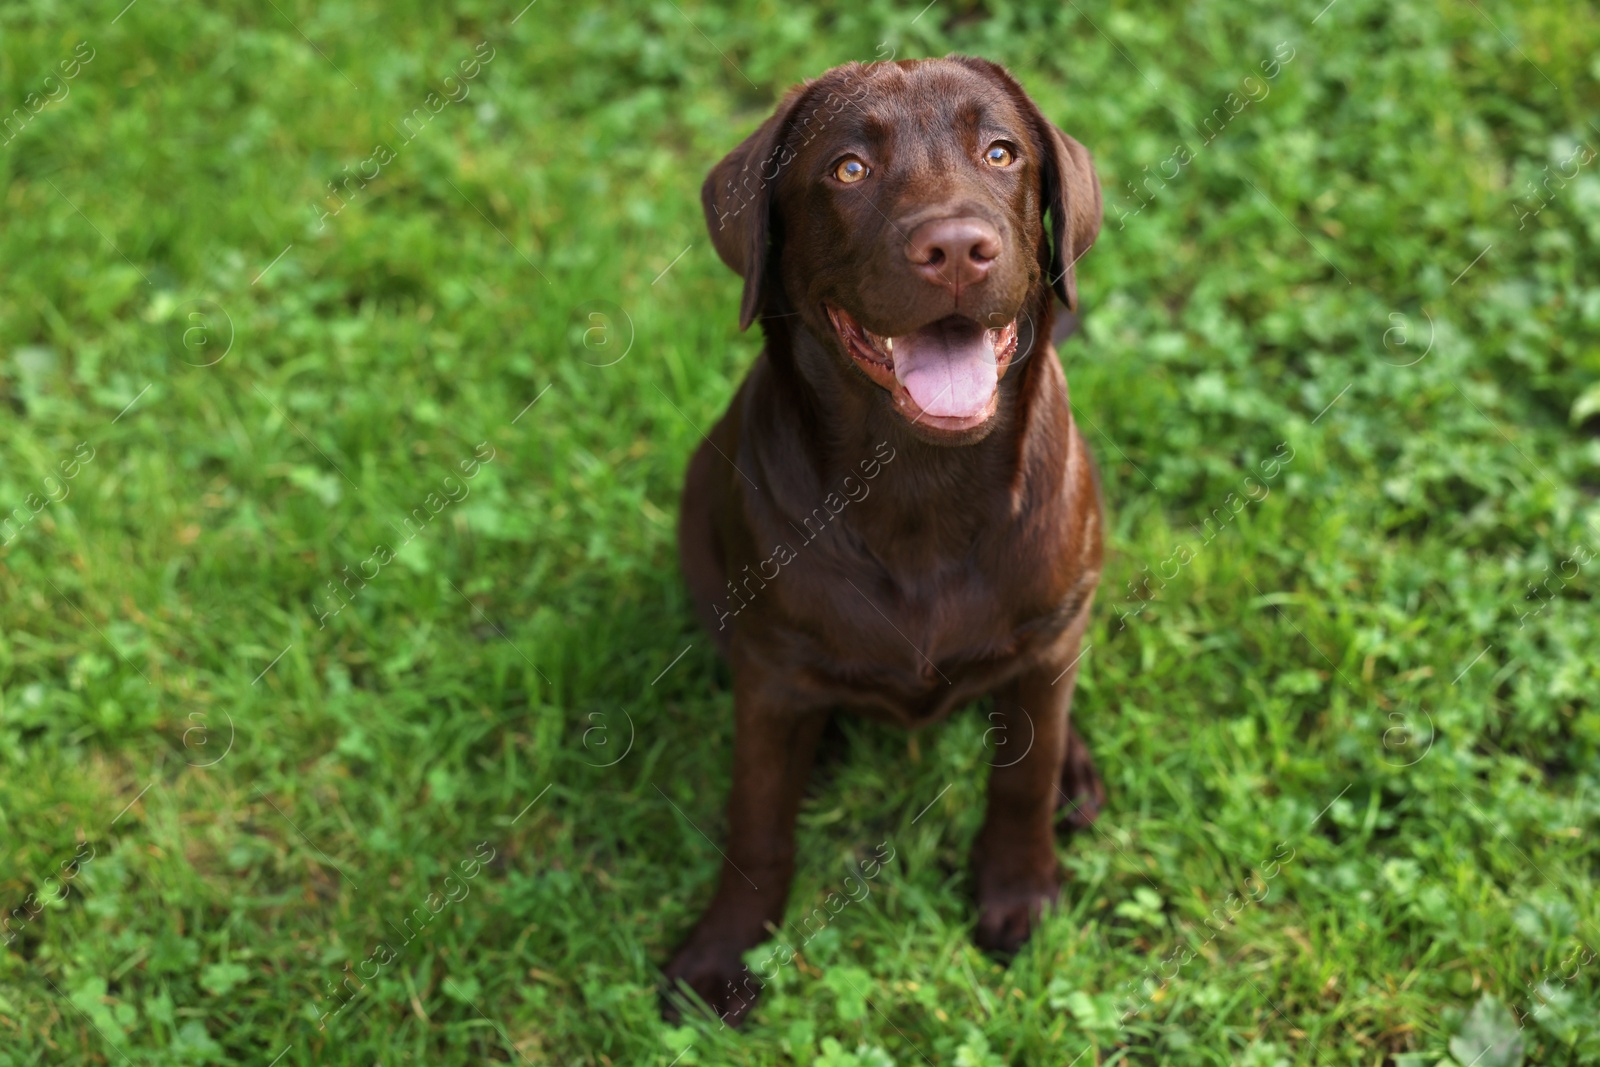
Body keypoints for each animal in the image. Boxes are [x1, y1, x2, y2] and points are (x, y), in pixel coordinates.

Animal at [662, 56, 1100, 1023]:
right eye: (849, 168)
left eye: (1001, 152)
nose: (957, 249)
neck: (917, 483)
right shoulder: (773, 671)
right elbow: (757, 819)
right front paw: (723, 951)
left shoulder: (1047, 631)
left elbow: (1021, 778)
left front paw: (1020, 892)